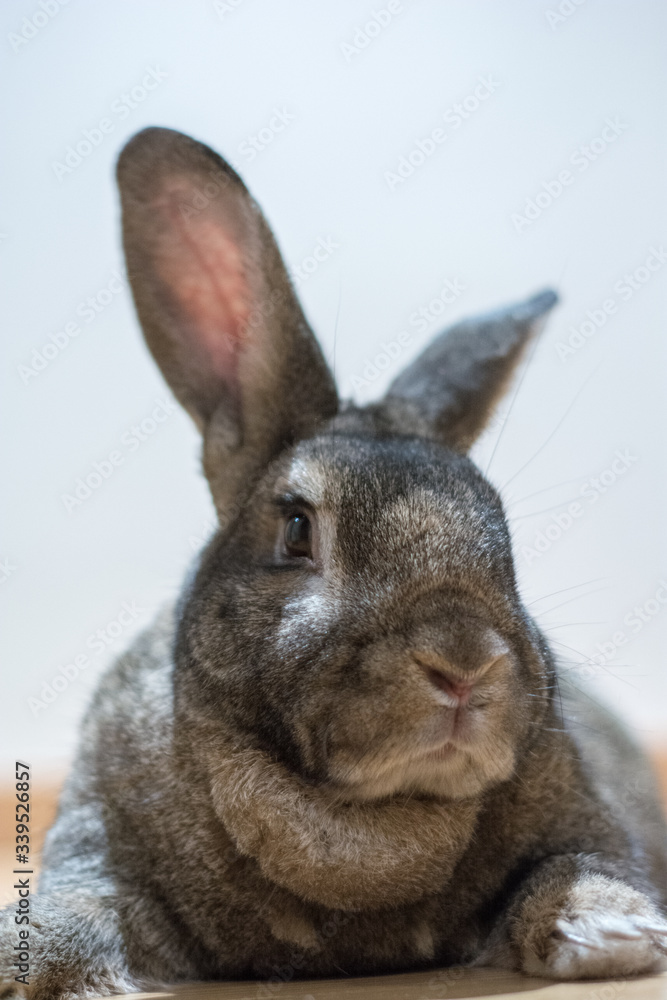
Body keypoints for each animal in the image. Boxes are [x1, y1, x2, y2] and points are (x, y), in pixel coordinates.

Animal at [2, 126, 666, 1000]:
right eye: (295, 529)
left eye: (502, 533)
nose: (464, 664)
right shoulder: (97, 838)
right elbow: (81, 903)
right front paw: (39, 971)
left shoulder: (583, 821)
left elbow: (578, 863)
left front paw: (610, 929)